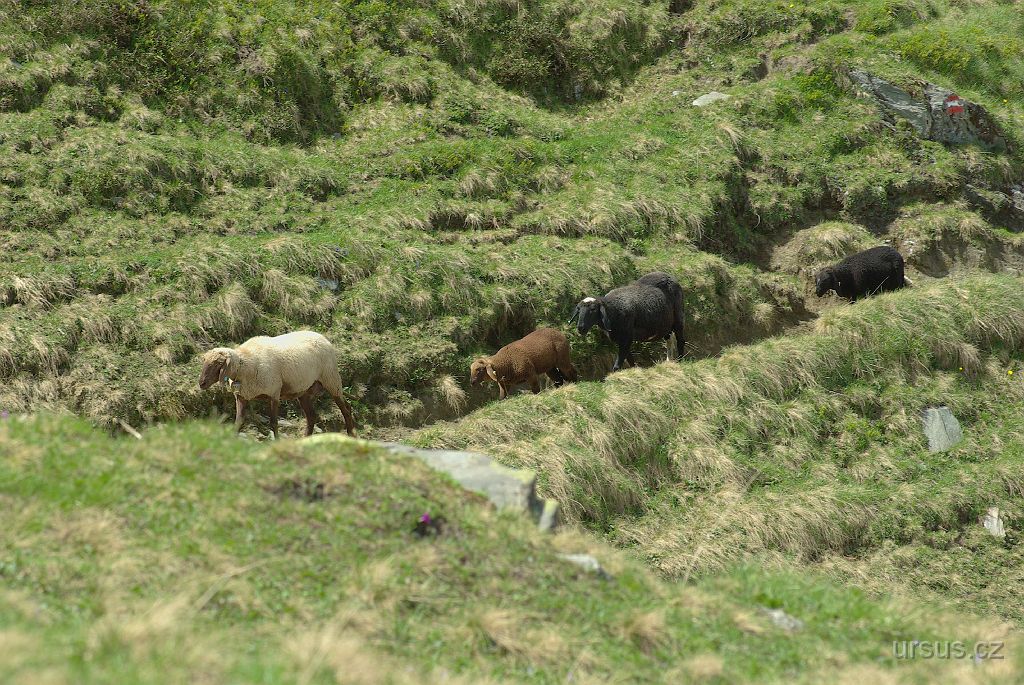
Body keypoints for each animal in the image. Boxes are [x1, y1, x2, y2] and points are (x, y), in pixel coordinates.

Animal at [197, 331, 358, 438]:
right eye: (204, 361)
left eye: (218, 363)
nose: (201, 383)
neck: (246, 364)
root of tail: (322, 337)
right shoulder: (241, 396)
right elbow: (238, 422)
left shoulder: (274, 393)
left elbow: (274, 422)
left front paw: (277, 441)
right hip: (304, 391)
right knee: (312, 416)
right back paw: (306, 439)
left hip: (331, 379)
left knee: (346, 409)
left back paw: (351, 434)